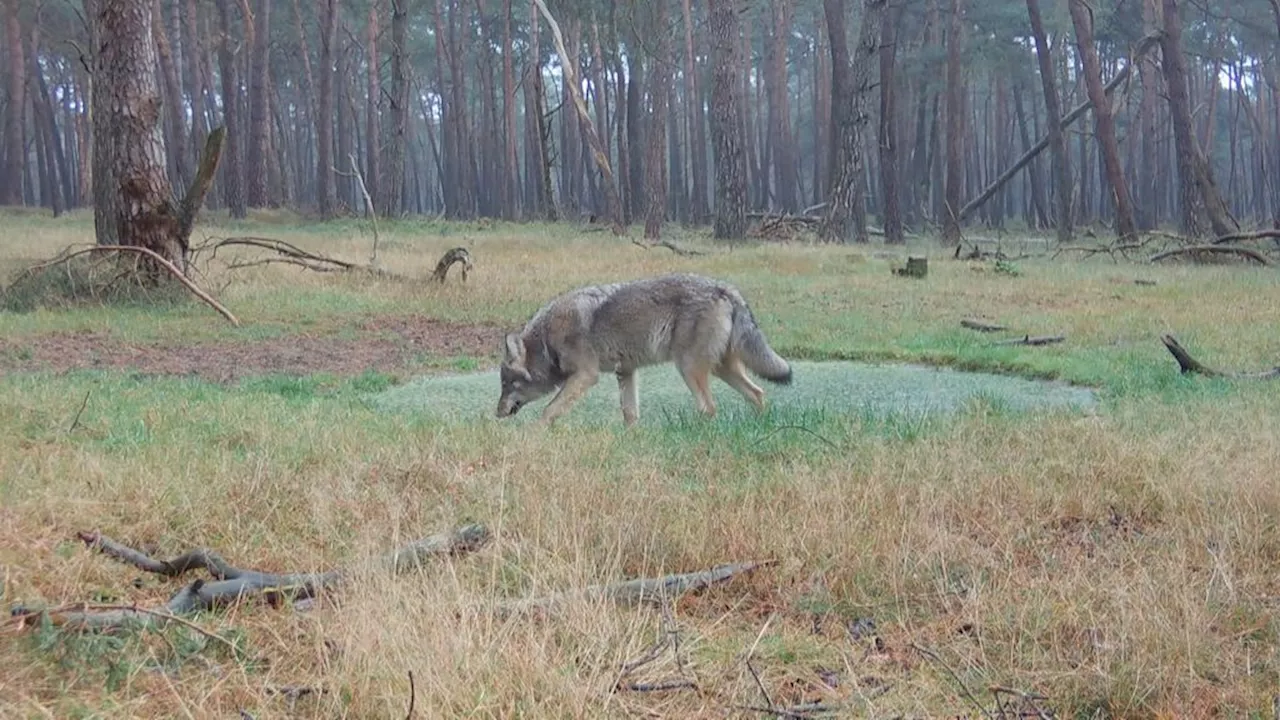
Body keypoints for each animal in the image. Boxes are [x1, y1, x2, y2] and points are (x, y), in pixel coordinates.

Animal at [496, 271, 788, 422]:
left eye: (507, 384)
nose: (497, 414)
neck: (547, 342)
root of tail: (725, 288)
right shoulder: (626, 371)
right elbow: (630, 414)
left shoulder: (586, 376)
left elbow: (548, 411)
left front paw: (536, 436)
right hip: (720, 369)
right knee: (757, 393)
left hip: (688, 368)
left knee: (709, 407)